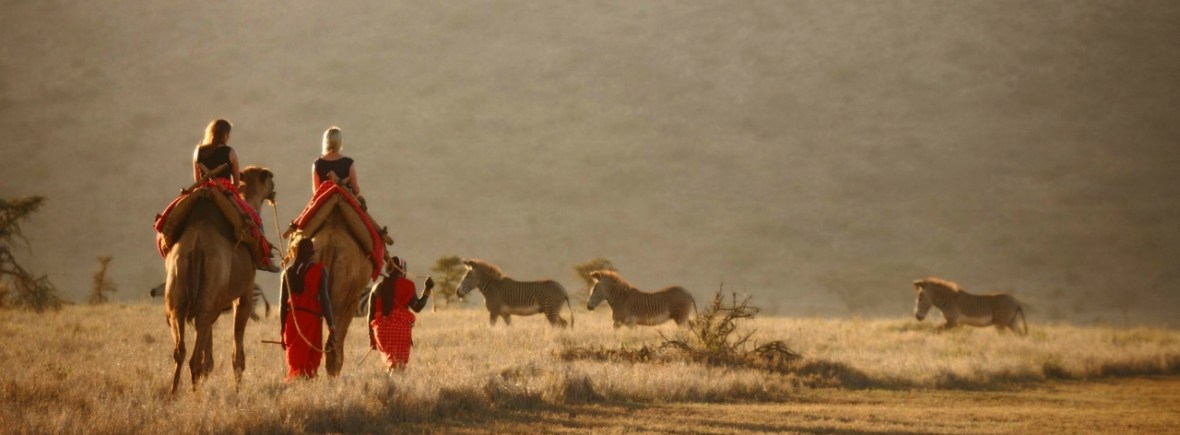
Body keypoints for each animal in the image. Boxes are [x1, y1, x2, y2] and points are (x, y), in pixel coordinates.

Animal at [162, 166, 275, 393]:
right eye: (269, 179)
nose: (274, 187)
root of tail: (197, 246)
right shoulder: (244, 294)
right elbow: (237, 350)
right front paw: (238, 388)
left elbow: (209, 347)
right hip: (212, 289)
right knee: (194, 355)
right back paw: (194, 396)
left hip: (178, 293)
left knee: (181, 348)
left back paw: (174, 393)